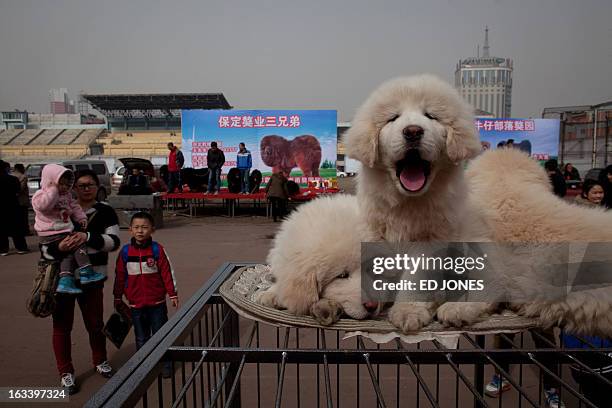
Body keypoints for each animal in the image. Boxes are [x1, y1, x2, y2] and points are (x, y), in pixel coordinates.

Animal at [344, 75, 492, 334]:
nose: (412, 131)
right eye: (393, 118)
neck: (408, 202)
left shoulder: (430, 241)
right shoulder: (373, 231)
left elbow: (416, 278)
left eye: (431, 116)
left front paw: (408, 311)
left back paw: (457, 309)